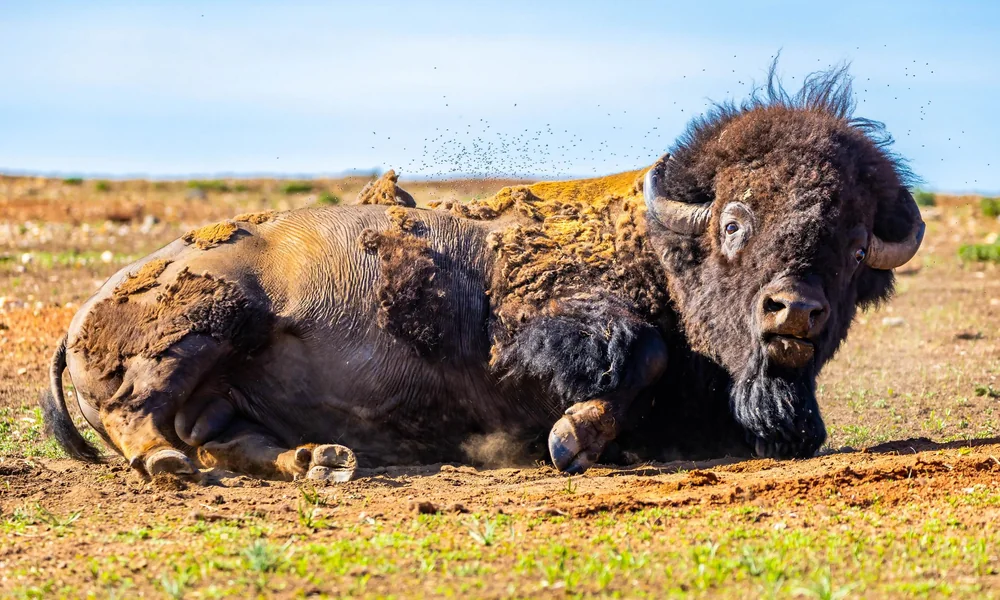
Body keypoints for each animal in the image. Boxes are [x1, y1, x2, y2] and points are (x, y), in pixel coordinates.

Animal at [42, 65, 923, 480]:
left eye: (852, 245)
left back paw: (322, 462)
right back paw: (173, 468)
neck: (659, 244)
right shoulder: (531, 330)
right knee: (141, 412)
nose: (793, 311)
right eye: (735, 222)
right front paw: (571, 439)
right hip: (207, 323)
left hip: (222, 390)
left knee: (227, 437)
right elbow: (637, 353)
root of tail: (84, 315)